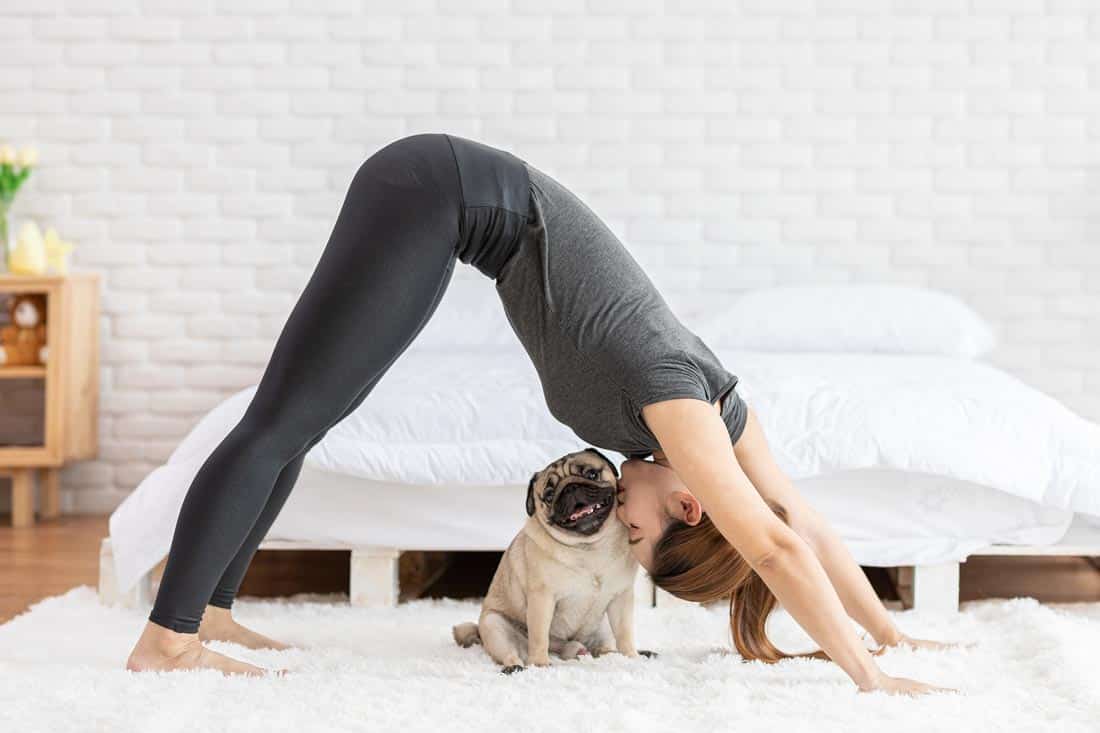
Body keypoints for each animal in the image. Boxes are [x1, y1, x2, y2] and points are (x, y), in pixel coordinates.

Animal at [453, 442, 651, 669]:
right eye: (549, 496)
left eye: (592, 474)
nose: (571, 487)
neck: (590, 547)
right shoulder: (542, 598)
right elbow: (539, 636)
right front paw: (540, 666)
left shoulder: (621, 596)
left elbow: (625, 632)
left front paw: (630, 657)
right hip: (494, 626)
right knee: (514, 651)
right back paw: (516, 667)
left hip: (602, 626)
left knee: (600, 646)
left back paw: (607, 653)